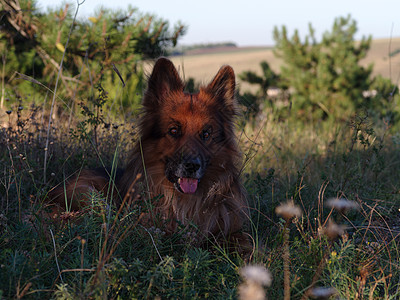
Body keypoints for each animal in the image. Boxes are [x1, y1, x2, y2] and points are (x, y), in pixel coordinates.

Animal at [50, 57, 248, 250]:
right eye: (174, 131)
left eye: (206, 134)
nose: (192, 166)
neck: (184, 202)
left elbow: (247, 243)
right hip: (88, 192)